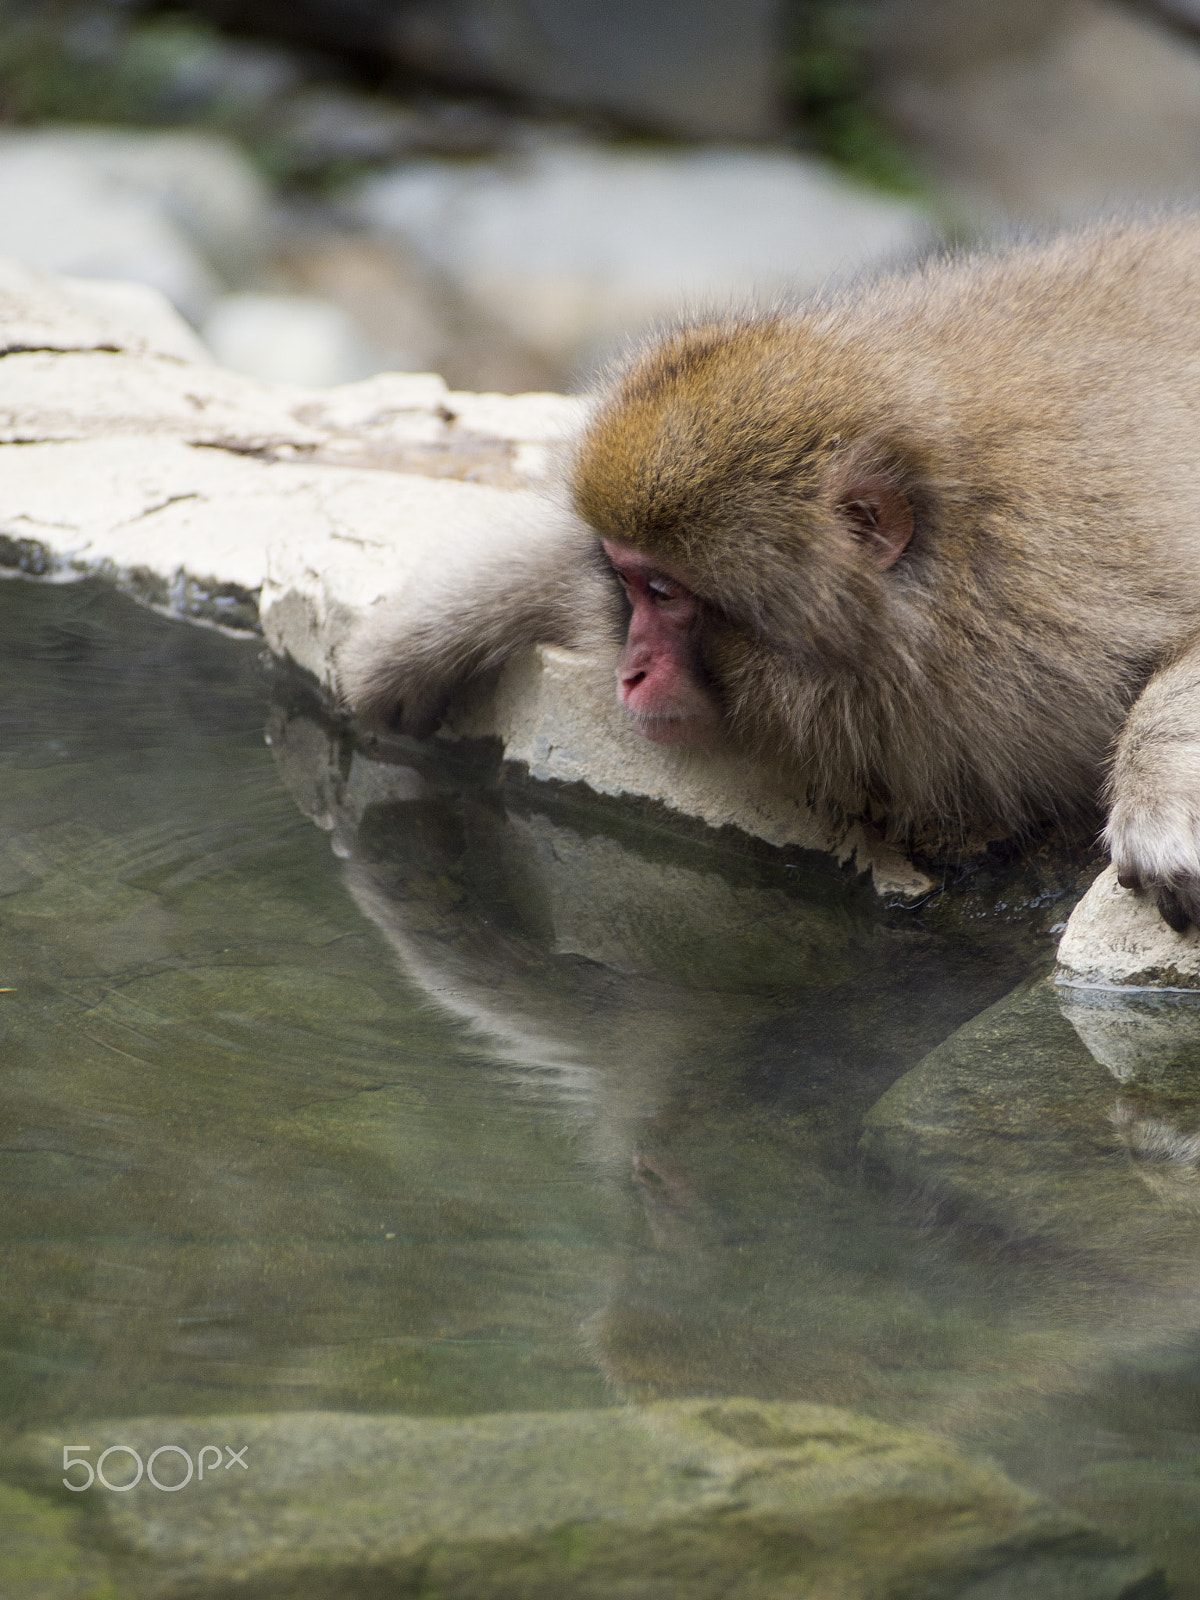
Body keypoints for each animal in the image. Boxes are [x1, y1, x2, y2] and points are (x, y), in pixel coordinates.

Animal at [340, 214, 1200, 933]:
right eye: (626, 581)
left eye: (664, 594)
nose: (629, 673)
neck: (946, 591)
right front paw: (420, 638)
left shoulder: (1059, 603)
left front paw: (1158, 802)